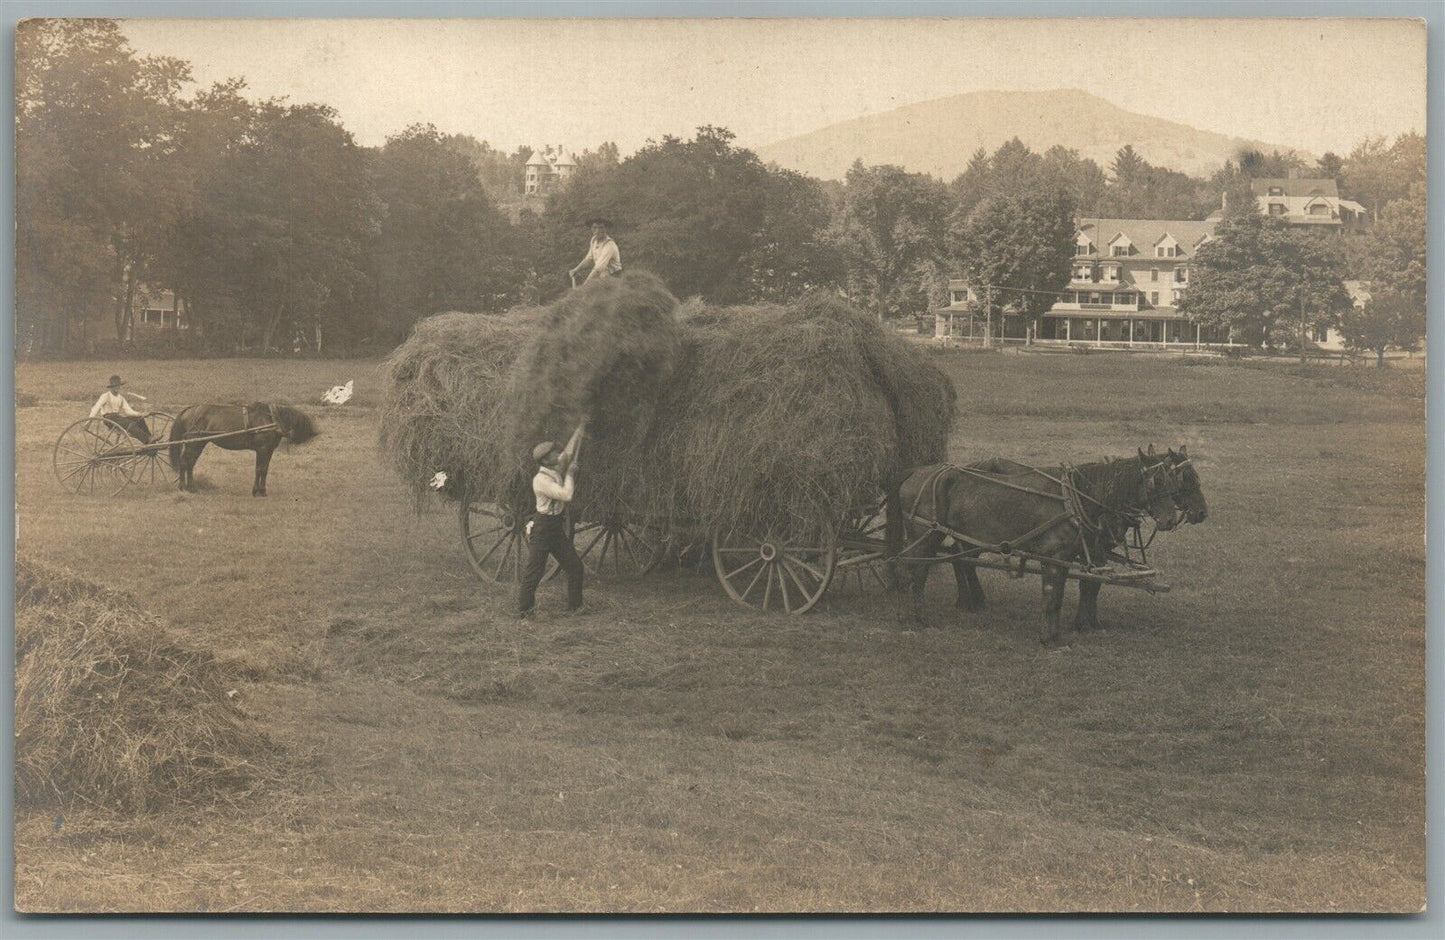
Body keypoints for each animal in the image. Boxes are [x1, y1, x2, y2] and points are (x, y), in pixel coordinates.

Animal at [167, 401, 317, 496]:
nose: (314, 434)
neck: (271, 419)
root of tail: (189, 409)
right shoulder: (262, 449)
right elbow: (259, 469)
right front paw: (256, 491)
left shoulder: (268, 451)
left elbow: (265, 470)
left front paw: (262, 490)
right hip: (193, 443)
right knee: (185, 462)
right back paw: (184, 487)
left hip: (198, 443)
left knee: (190, 463)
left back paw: (191, 487)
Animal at [884, 450, 1202, 646]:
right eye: (1156, 481)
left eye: (1174, 481)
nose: (1170, 519)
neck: (1077, 499)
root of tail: (915, 473)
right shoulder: (1056, 556)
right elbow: (1054, 597)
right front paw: (1050, 638)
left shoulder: (1068, 559)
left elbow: (1064, 596)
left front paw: (1061, 634)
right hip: (924, 534)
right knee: (907, 569)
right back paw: (908, 617)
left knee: (926, 569)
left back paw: (927, 614)